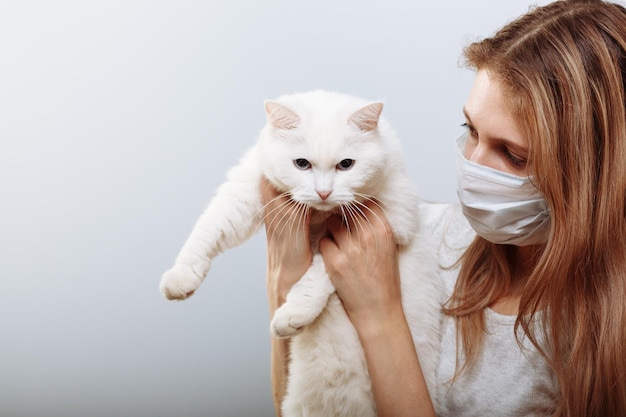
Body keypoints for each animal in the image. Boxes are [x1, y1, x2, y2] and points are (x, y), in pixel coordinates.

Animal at [161, 89, 444, 414]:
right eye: (301, 164)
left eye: (346, 165)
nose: (323, 192)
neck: (320, 215)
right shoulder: (245, 191)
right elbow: (208, 229)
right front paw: (181, 277)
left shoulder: (398, 220)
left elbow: (319, 272)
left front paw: (294, 313)